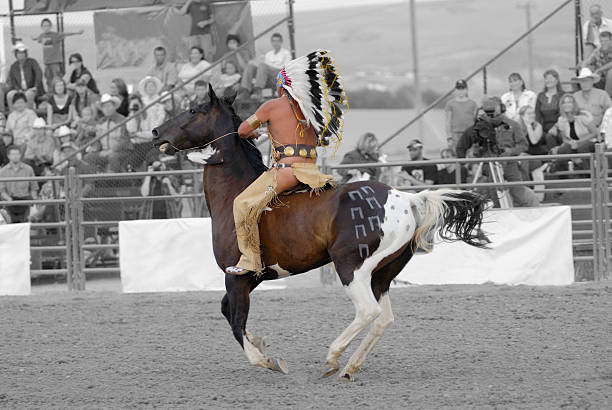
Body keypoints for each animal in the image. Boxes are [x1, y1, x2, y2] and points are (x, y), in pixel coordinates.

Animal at [151, 85, 490, 382]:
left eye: (193, 109)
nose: (156, 133)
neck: (235, 191)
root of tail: (406, 199)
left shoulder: (237, 277)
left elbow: (236, 322)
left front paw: (268, 360)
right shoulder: (252, 278)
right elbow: (228, 313)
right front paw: (261, 343)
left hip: (351, 267)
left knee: (367, 312)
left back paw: (333, 357)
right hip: (382, 274)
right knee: (383, 318)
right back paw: (349, 368)